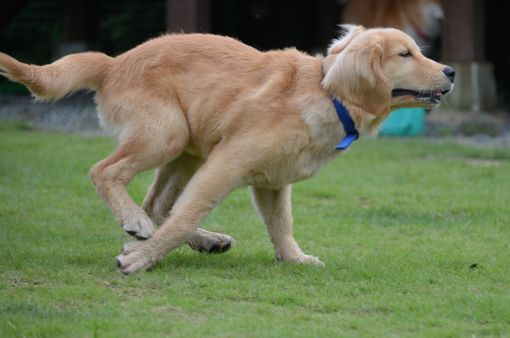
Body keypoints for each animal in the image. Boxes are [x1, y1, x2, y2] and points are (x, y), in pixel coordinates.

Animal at [0, 26, 454, 274]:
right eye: (405, 53)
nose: (450, 71)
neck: (327, 93)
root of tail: (113, 63)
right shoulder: (227, 163)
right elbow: (187, 216)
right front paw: (141, 259)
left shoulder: (272, 182)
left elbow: (281, 225)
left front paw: (294, 258)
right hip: (167, 134)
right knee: (107, 173)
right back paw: (136, 227)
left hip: (189, 149)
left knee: (158, 204)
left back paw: (195, 240)